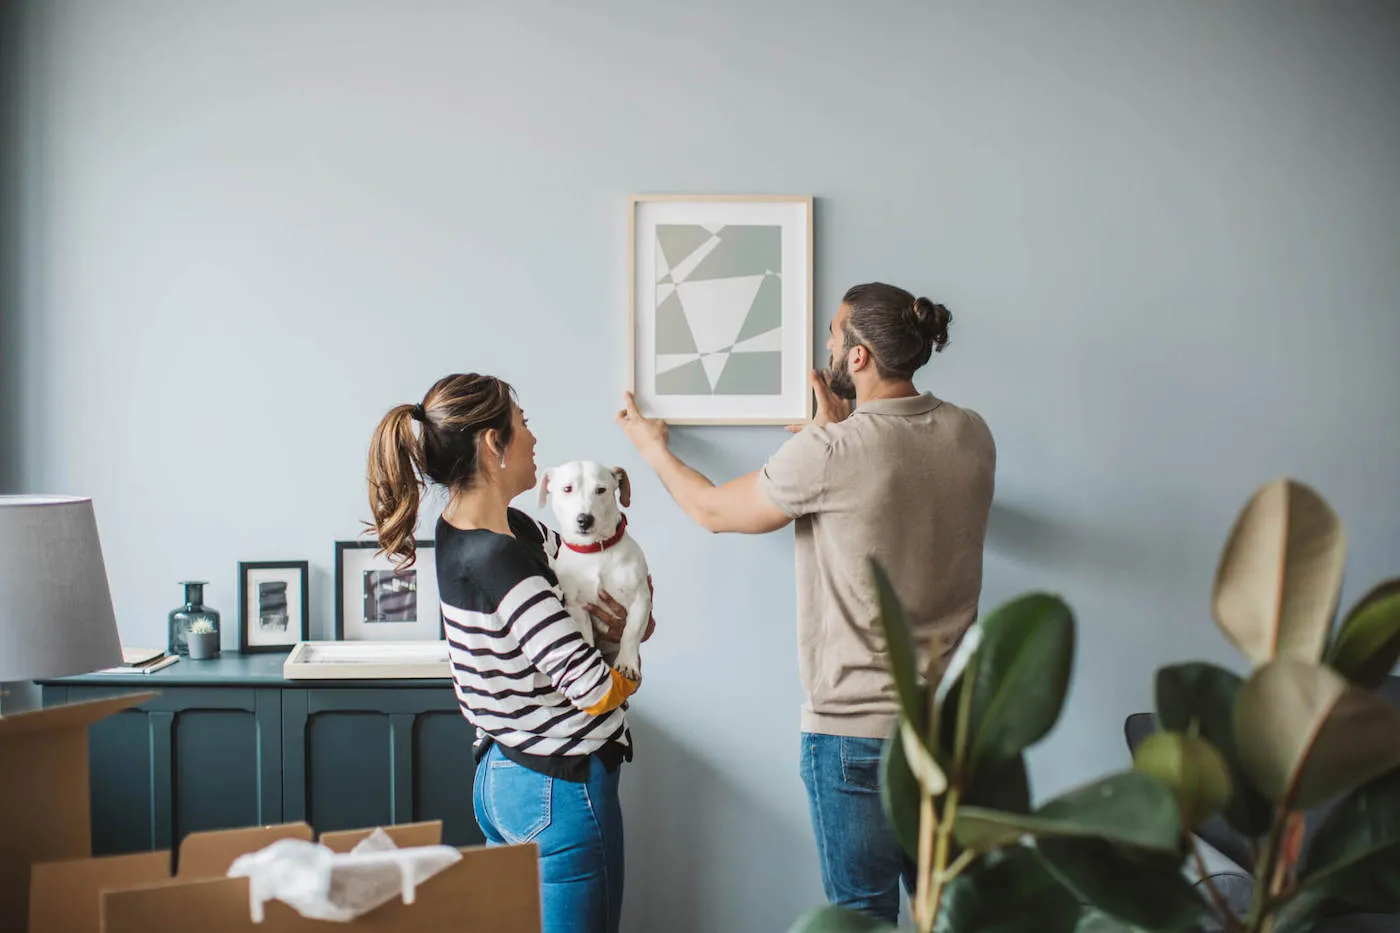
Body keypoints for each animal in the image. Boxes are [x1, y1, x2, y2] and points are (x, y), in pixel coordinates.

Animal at [537, 462, 652, 680]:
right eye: (567, 489)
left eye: (601, 490)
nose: (585, 519)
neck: (594, 550)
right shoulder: (577, 607)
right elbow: (585, 637)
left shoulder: (641, 599)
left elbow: (630, 632)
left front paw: (627, 663)